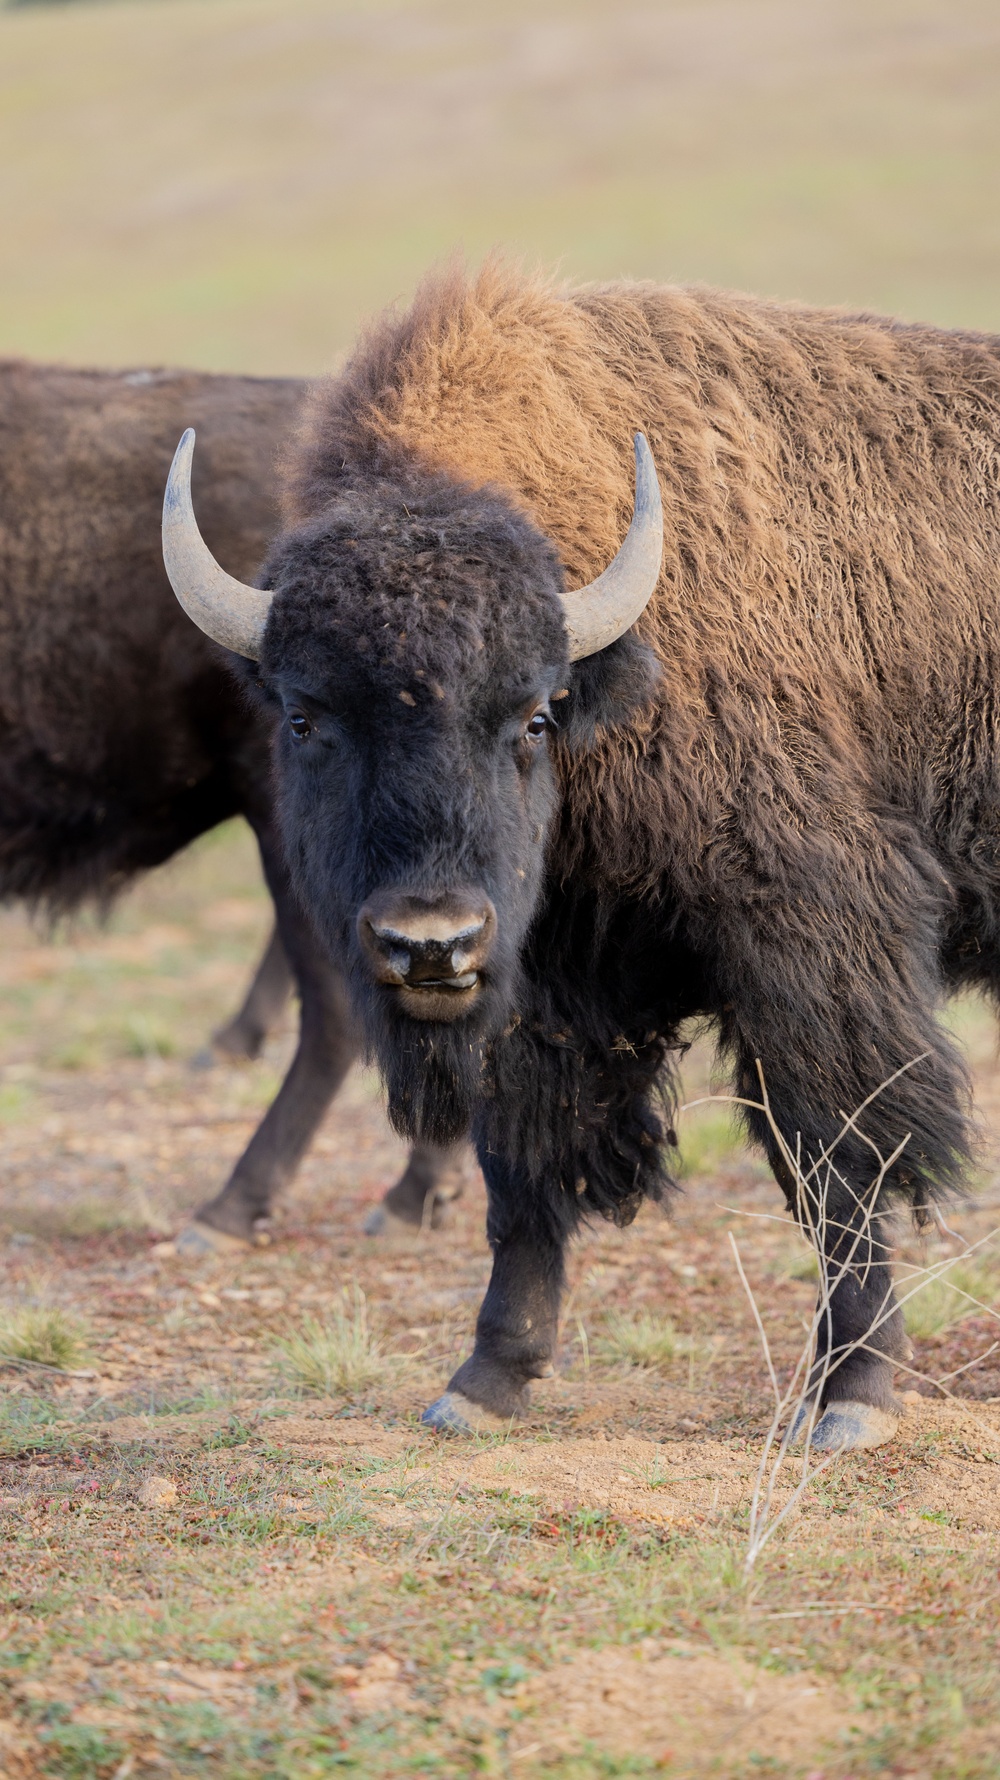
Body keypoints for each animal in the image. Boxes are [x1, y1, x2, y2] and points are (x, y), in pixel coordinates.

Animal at [161, 263, 989, 1445]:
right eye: (307, 716)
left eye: (534, 714)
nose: (428, 943)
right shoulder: (539, 987)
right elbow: (524, 1172)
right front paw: (483, 1381)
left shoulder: (810, 944)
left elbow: (838, 1153)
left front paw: (851, 1397)